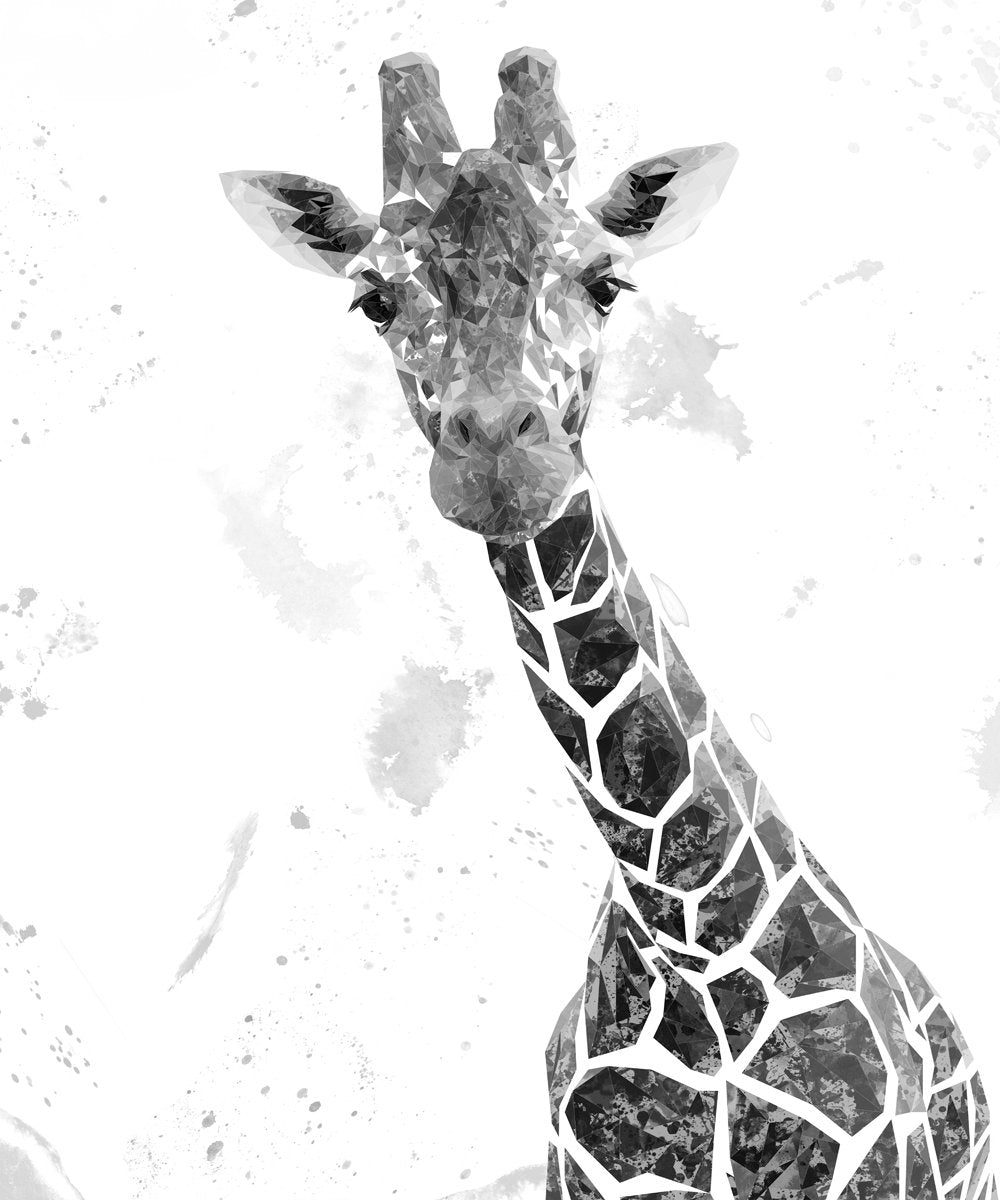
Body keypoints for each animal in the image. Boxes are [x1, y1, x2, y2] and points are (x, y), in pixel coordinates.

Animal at [220, 47, 995, 1200]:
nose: (502, 459)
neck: (693, 947)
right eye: (373, 298)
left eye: (604, 281)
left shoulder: (879, 1171)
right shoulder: (583, 1176)